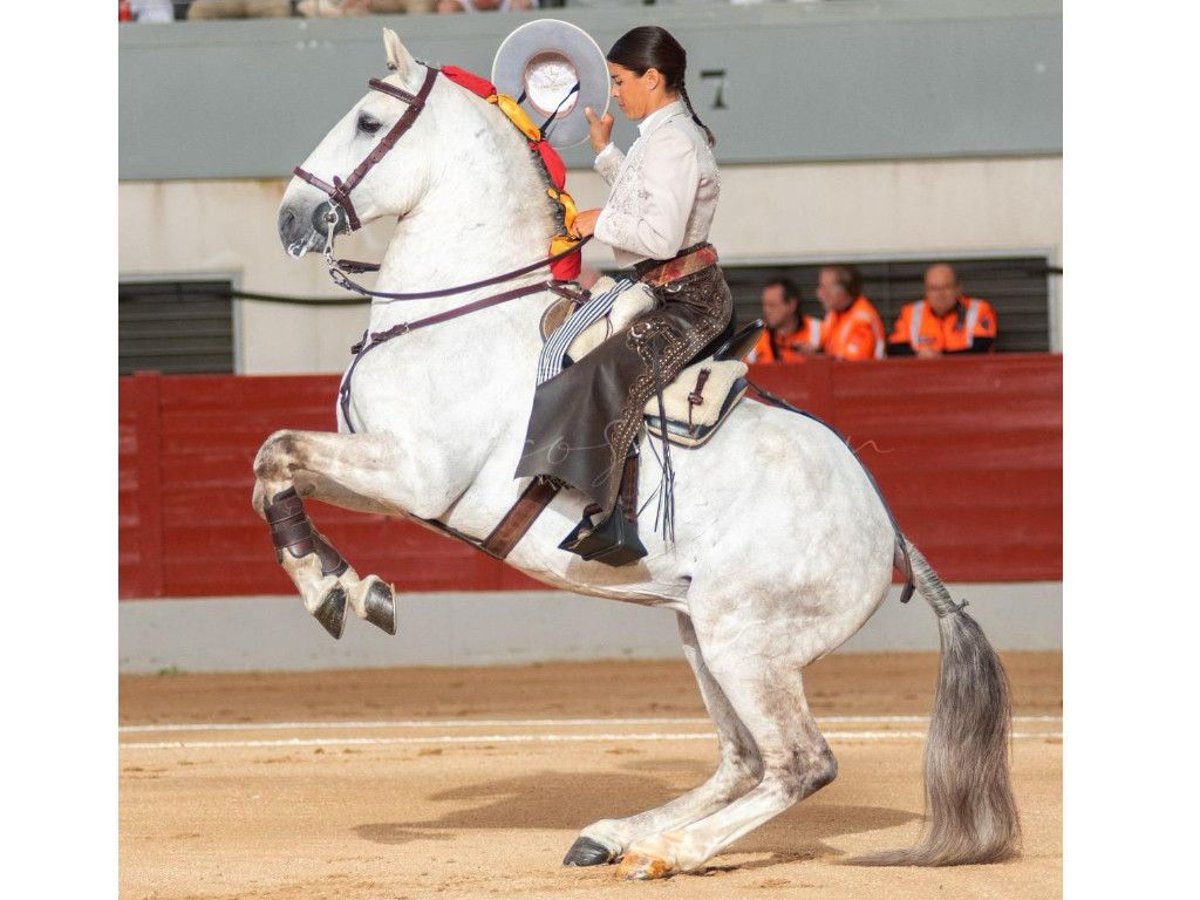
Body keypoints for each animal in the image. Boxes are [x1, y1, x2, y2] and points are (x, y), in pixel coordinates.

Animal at [255, 30, 1022, 883]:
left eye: (365, 121)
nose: (292, 218)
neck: (461, 314)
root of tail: (885, 527)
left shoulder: (414, 475)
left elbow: (274, 454)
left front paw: (337, 591)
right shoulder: (377, 473)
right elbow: (274, 465)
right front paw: (344, 585)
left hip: (744, 643)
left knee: (799, 762)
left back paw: (665, 852)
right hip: (698, 631)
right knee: (742, 759)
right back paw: (615, 835)